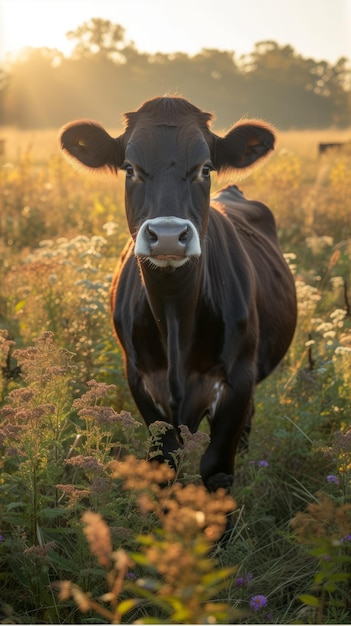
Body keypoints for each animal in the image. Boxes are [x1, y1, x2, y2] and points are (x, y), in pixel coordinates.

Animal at [59, 95, 296, 490]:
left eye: (205, 168)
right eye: (129, 168)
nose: (168, 235)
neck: (174, 317)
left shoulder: (237, 383)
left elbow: (217, 467)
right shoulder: (141, 381)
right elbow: (164, 461)